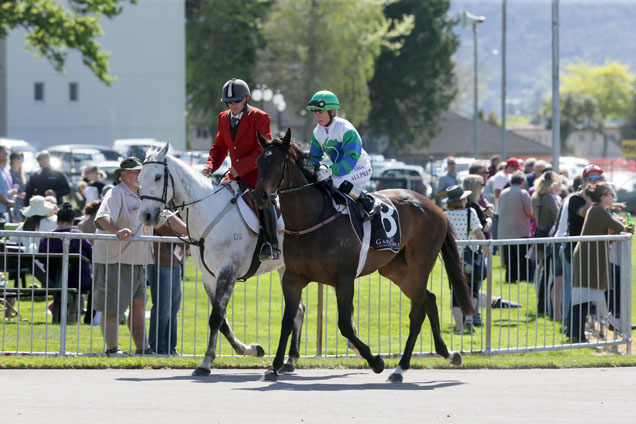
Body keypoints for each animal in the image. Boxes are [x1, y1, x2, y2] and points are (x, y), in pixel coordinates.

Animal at [139, 142, 306, 374]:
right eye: (139, 178)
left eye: (156, 177)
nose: (145, 216)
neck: (209, 212)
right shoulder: (209, 277)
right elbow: (223, 321)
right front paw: (250, 349)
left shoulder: (228, 271)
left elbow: (217, 317)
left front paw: (206, 362)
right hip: (286, 270)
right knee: (298, 310)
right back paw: (290, 360)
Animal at [252, 130, 472, 384]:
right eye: (259, 162)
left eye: (278, 163)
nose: (259, 196)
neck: (312, 219)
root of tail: (436, 208)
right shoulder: (293, 278)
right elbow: (287, 321)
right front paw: (275, 366)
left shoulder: (344, 279)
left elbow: (345, 325)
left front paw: (376, 361)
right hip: (396, 270)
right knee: (430, 299)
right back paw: (449, 354)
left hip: (420, 265)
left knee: (417, 313)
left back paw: (400, 368)